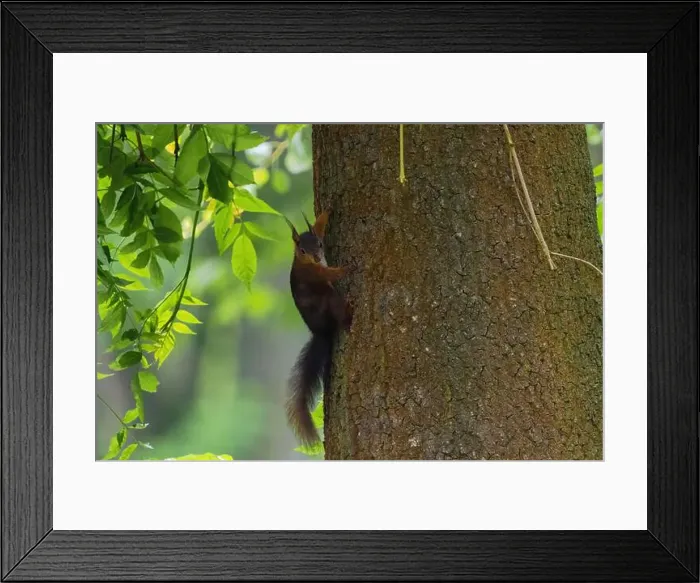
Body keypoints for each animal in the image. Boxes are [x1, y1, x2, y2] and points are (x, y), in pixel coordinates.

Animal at [284, 209, 353, 447]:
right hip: (330, 299)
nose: (315, 257)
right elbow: (329, 275)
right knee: (339, 315)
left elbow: (319, 224)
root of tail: (321, 333)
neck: (303, 262)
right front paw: (344, 269)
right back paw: (348, 315)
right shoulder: (314, 274)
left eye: (320, 244)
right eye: (302, 250)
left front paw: (325, 215)